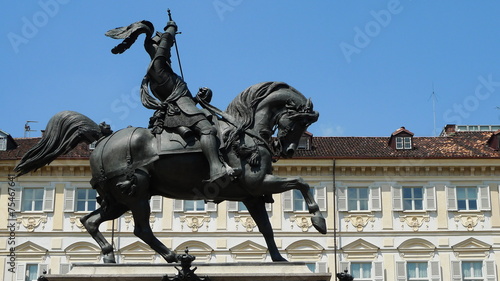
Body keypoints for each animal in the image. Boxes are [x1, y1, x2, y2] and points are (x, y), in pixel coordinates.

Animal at [15, 80, 322, 262]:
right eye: (299, 121)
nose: (289, 149)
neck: (243, 131)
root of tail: (103, 138)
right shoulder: (258, 183)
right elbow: (301, 181)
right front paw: (318, 220)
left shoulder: (252, 194)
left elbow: (267, 228)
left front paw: (280, 260)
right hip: (136, 193)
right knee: (141, 229)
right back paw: (172, 256)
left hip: (118, 199)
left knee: (90, 221)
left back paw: (109, 255)